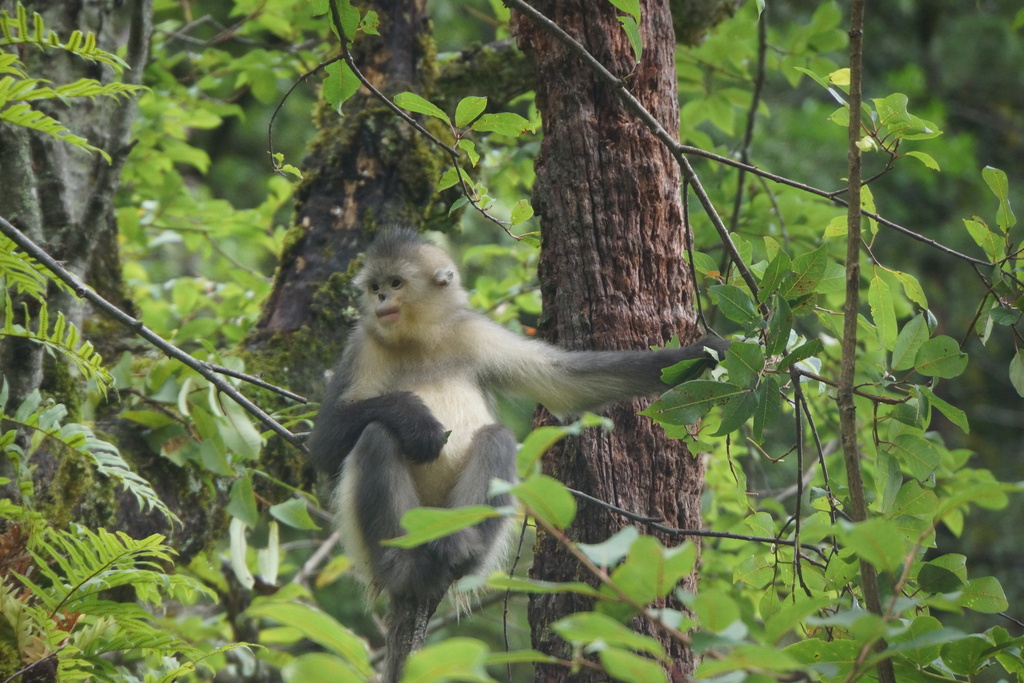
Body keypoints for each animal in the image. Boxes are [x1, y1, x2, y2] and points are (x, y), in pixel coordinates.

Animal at [306, 228, 728, 681]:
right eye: (374, 287)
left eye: (395, 283)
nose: (382, 299)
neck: (418, 342)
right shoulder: (362, 344)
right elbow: (325, 443)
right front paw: (415, 419)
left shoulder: (472, 332)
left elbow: (566, 384)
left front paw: (701, 353)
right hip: (370, 545)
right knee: (377, 436)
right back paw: (405, 566)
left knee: (497, 437)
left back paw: (458, 550)